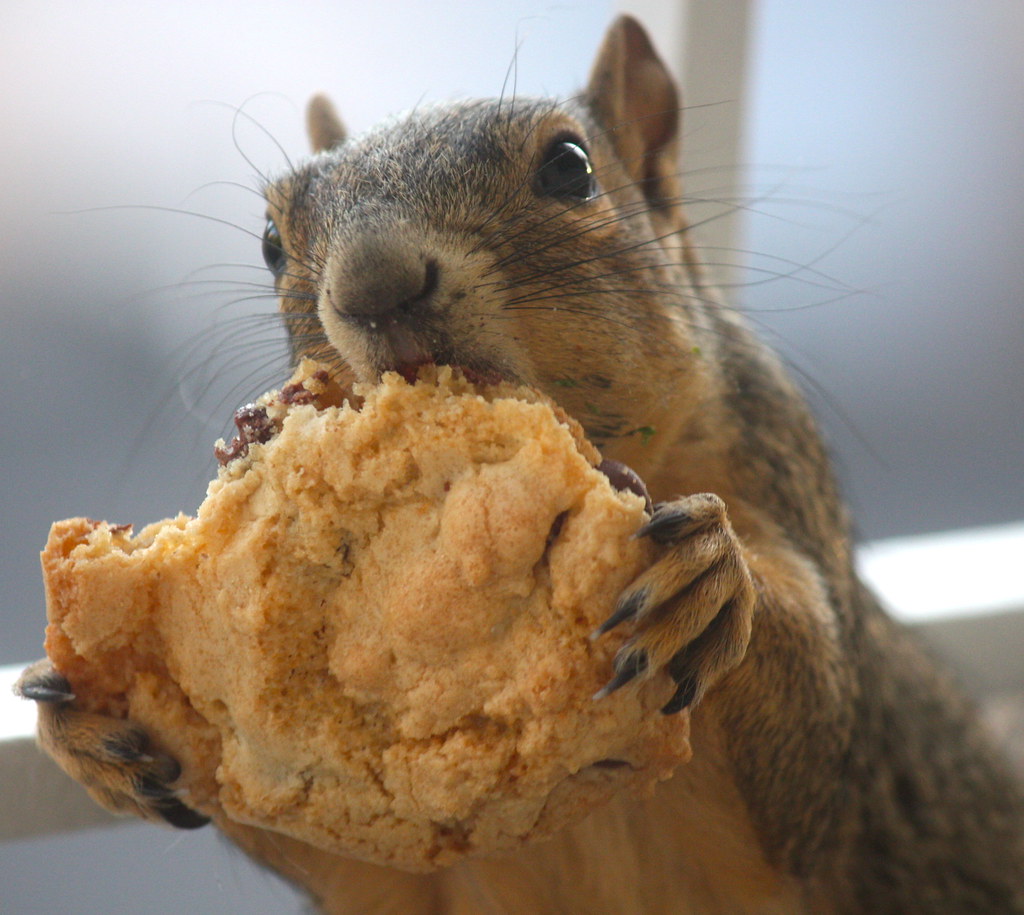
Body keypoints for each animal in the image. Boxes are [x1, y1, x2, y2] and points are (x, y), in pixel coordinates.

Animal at [16, 14, 1024, 914]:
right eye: (270, 241)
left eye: (571, 168)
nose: (374, 284)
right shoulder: (390, 861)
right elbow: (313, 824)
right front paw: (79, 718)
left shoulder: (785, 493)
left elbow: (818, 740)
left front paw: (713, 575)